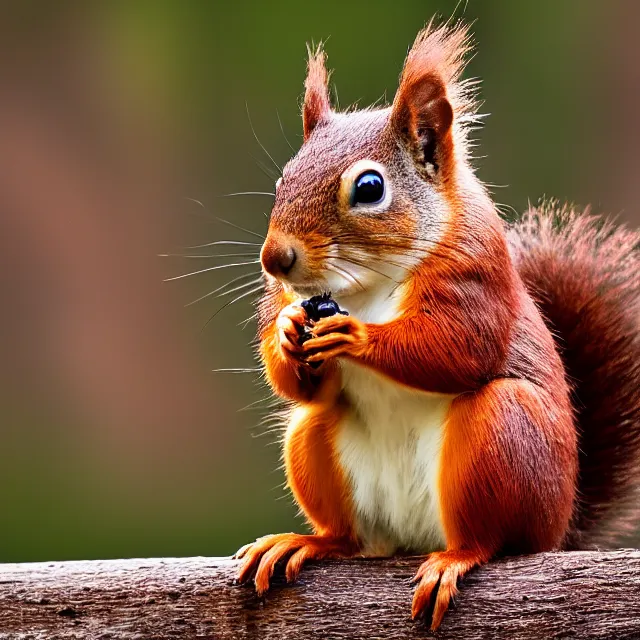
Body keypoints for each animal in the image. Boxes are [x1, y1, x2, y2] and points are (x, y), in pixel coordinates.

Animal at [236, 21, 640, 632]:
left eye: (370, 188)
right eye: (284, 178)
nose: (275, 260)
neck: (365, 286)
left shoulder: (475, 276)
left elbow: (455, 349)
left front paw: (358, 338)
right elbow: (300, 383)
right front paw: (285, 331)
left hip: (503, 437)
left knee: (490, 539)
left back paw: (457, 558)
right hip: (314, 443)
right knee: (345, 523)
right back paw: (309, 543)